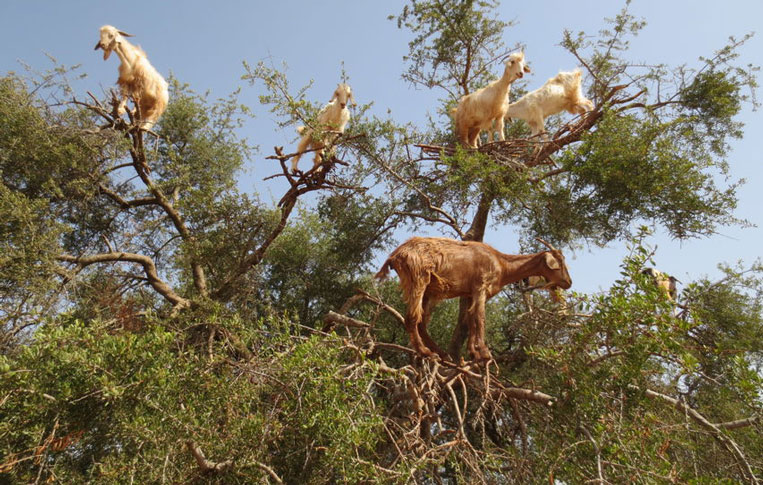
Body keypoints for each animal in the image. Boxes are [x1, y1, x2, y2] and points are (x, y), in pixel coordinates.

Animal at [376, 236, 572, 362]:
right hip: (419, 279)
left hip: (429, 291)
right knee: (412, 318)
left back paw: (441, 353)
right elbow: (480, 318)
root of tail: (396, 255)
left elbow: (469, 320)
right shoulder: (480, 287)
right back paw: (426, 352)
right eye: (560, 263)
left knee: (422, 322)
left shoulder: (469, 293)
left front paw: (473, 353)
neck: (502, 264)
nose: (568, 282)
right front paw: (484, 353)